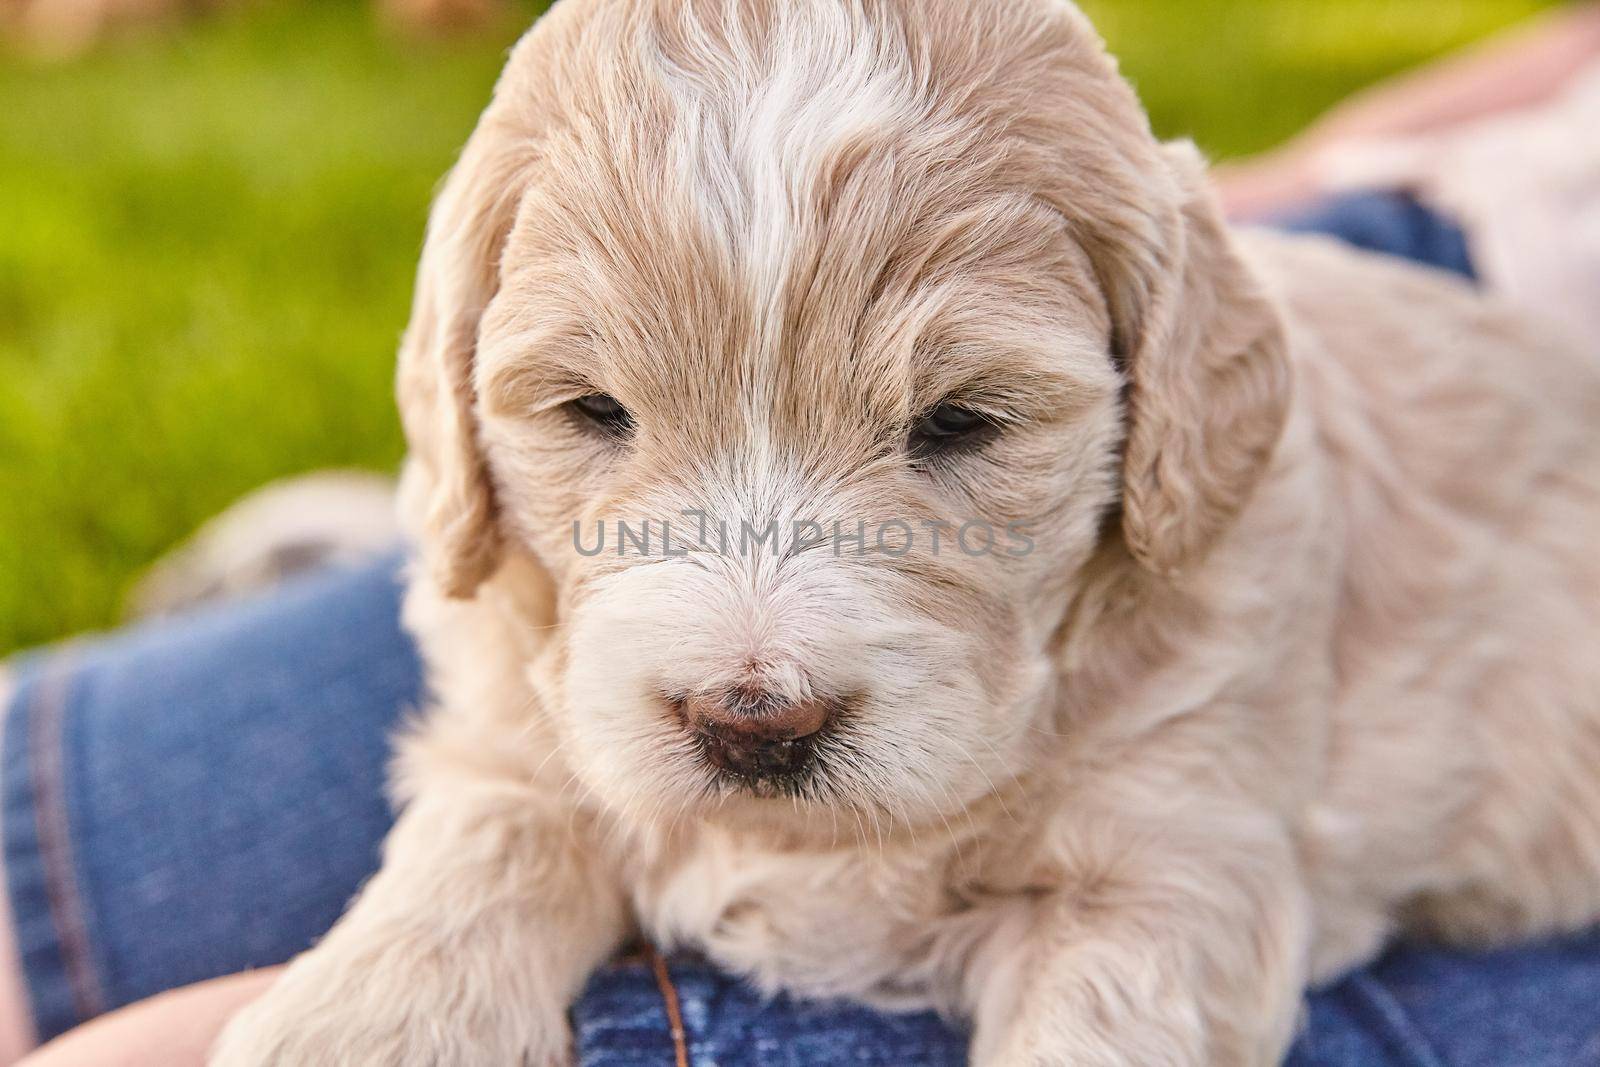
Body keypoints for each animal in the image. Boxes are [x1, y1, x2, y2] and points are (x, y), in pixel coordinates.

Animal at [206, 2, 1600, 1067]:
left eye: (960, 421)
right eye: (592, 410)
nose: (752, 723)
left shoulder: (1169, 866)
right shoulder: (521, 730)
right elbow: (478, 851)